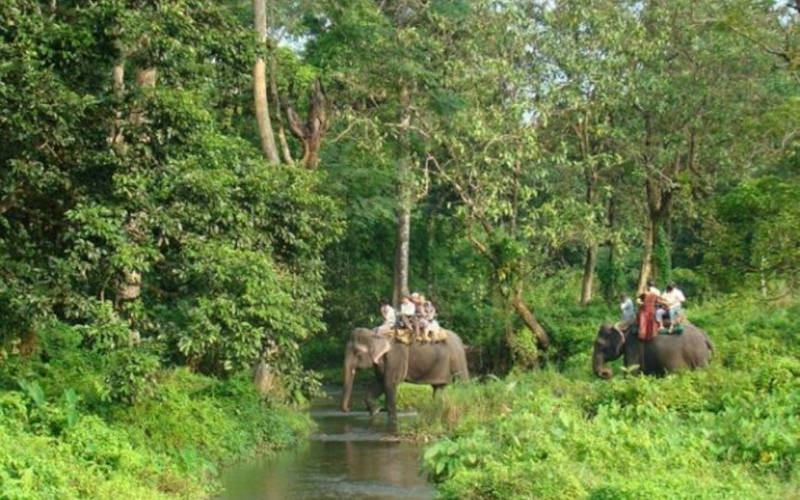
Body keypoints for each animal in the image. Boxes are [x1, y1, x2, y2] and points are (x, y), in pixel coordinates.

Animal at [340, 326, 468, 420]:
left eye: (357, 353)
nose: (348, 409)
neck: (376, 334)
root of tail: (460, 340)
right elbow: (379, 382)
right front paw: (375, 411)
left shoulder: (396, 357)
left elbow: (389, 383)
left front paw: (391, 418)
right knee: (438, 389)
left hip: (458, 359)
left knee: (462, 383)